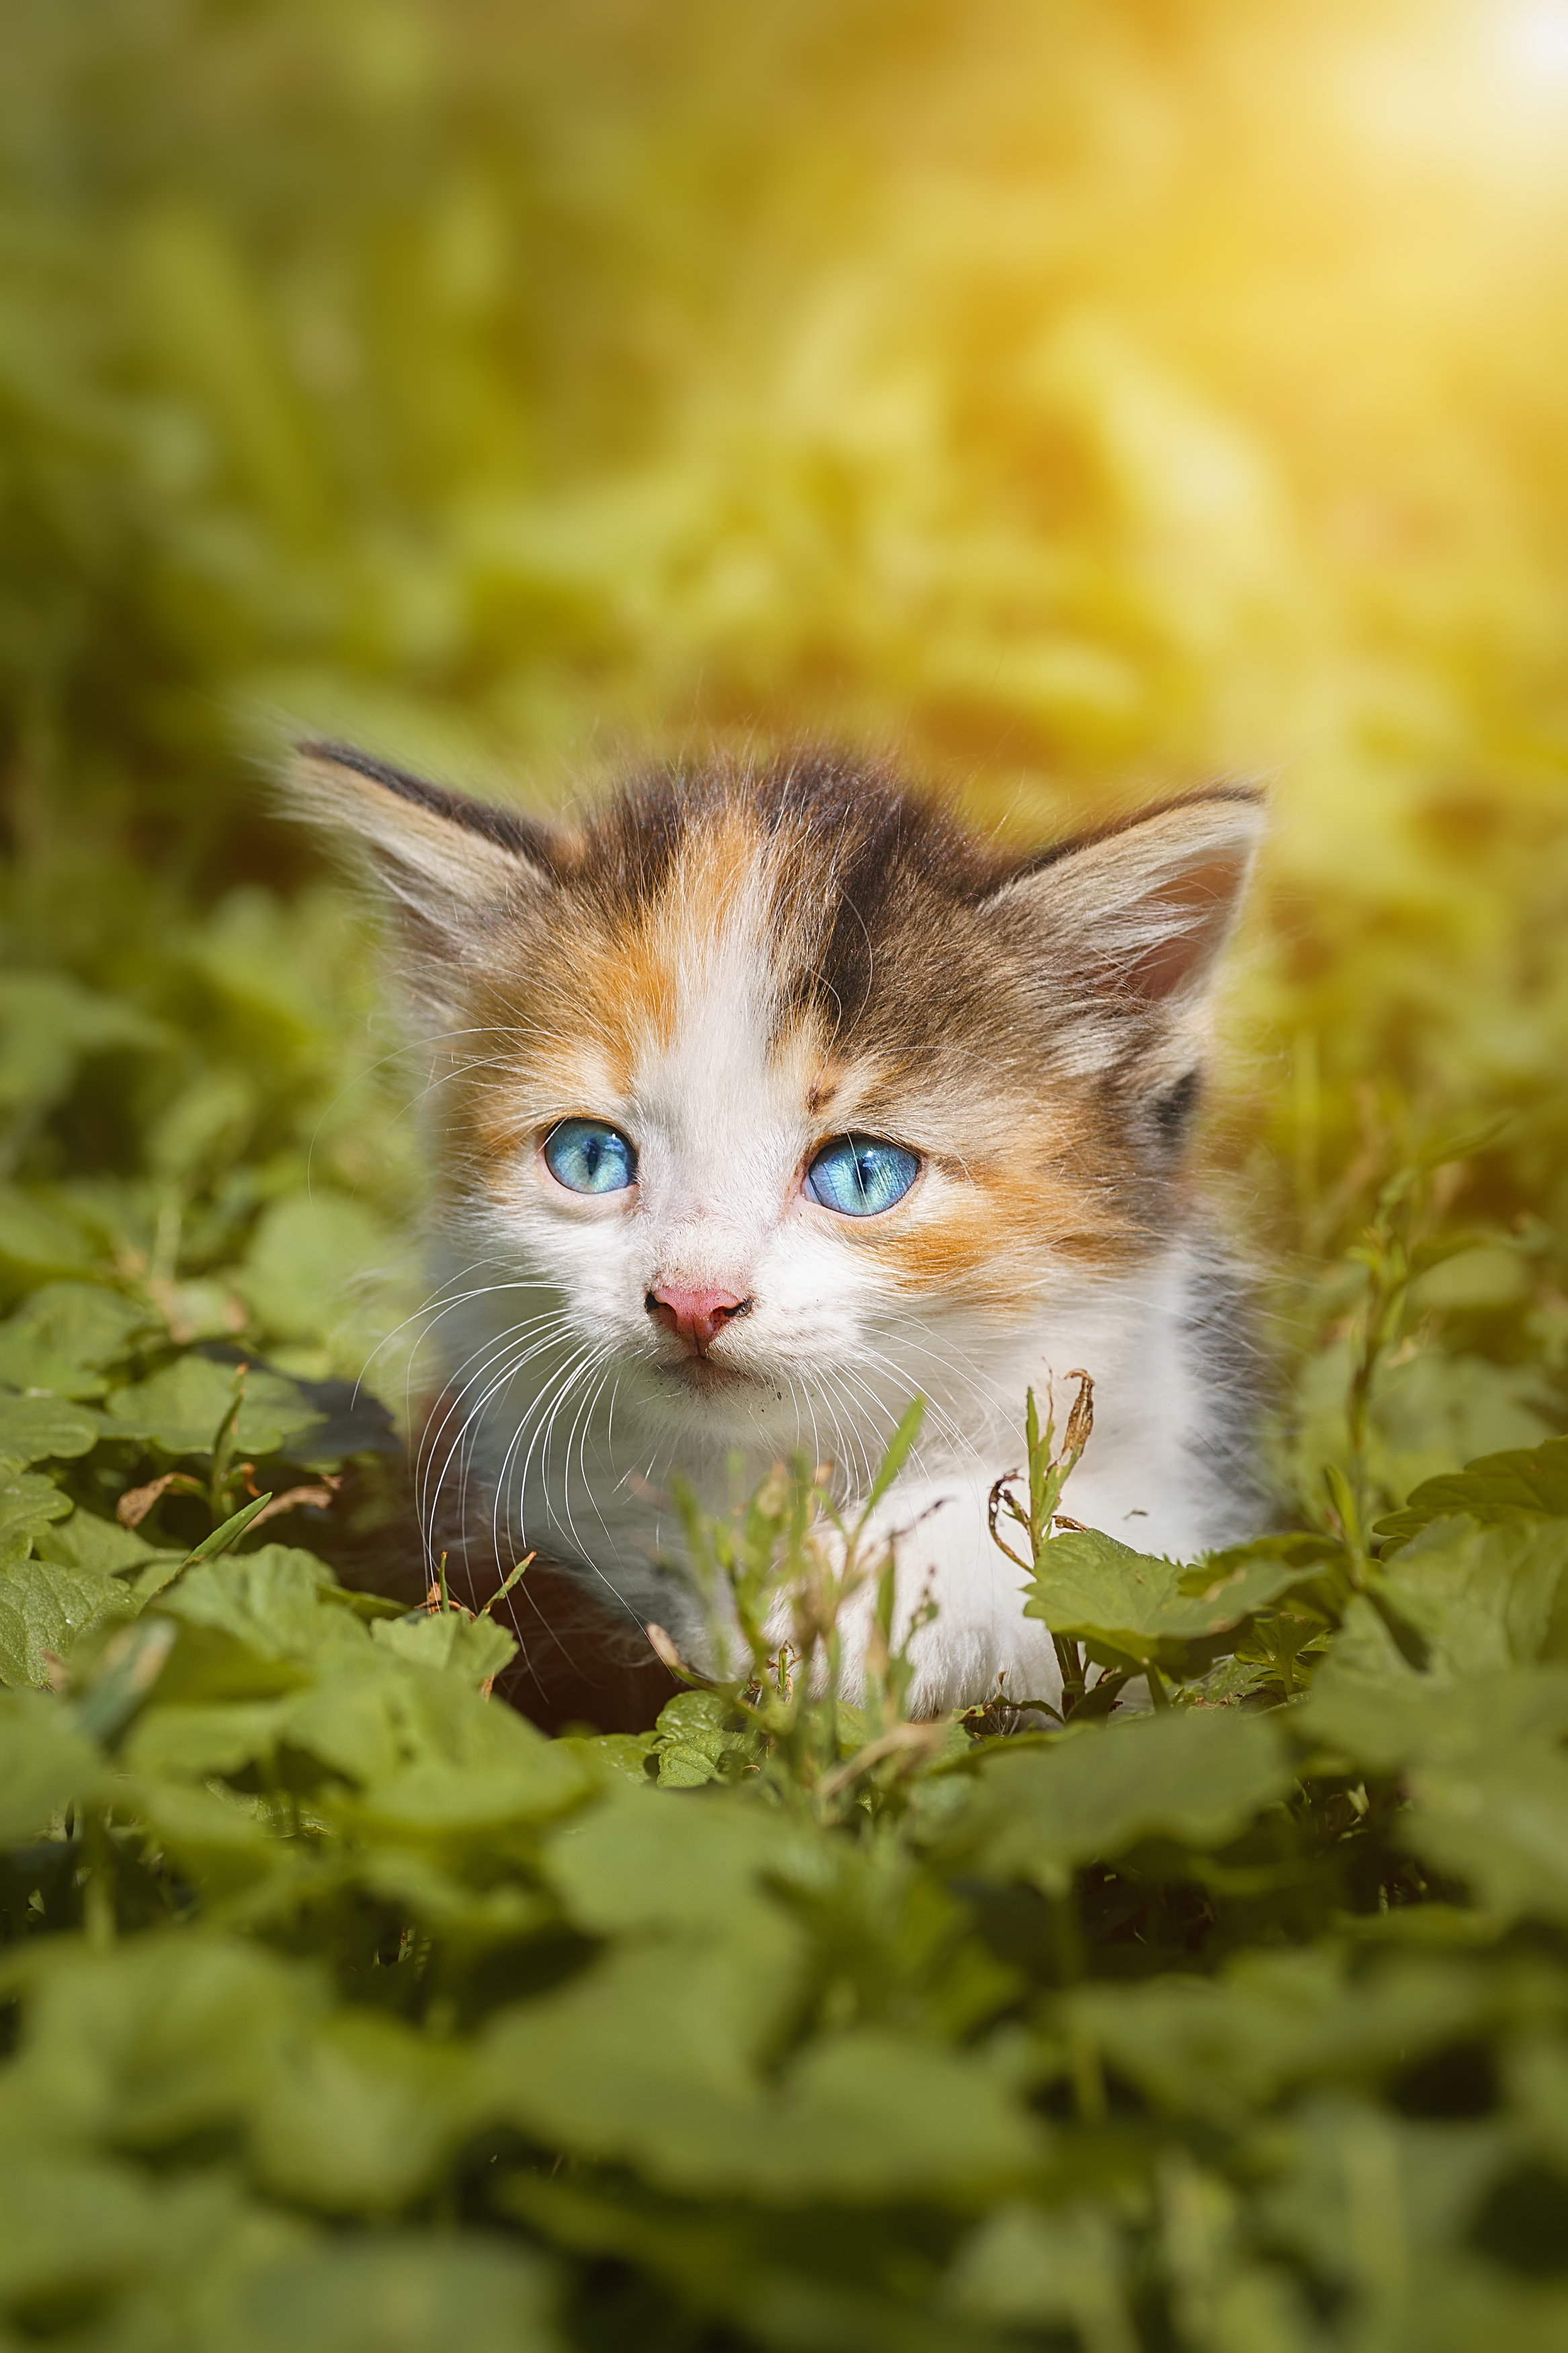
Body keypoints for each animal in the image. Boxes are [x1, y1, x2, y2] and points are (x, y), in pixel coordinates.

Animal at [285, 744, 1260, 1722]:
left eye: (862, 1175)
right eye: (590, 1157)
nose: (693, 1299)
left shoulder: (1173, 1483)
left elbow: (1089, 1561)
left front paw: (830, 1599)